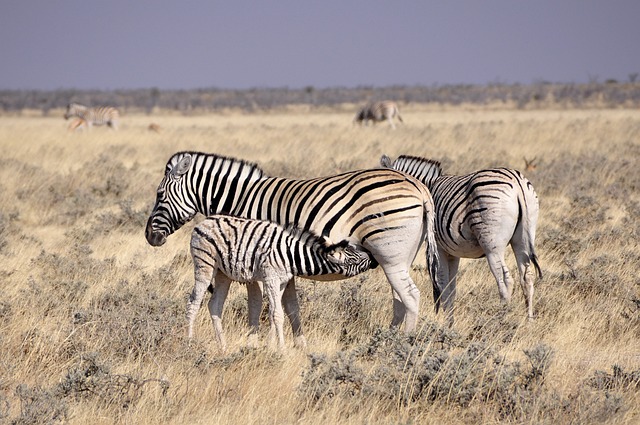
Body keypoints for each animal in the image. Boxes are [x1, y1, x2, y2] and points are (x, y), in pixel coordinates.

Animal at [188, 214, 372, 350]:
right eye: (353, 257)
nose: (371, 256)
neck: (291, 254)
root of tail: (203, 222)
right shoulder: (271, 278)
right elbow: (278, 314)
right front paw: (281, 350)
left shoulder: (281, 281)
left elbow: (272, 313)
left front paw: (271, 347)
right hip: (204, 265)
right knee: (193, 303)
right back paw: (189, 342)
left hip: (222, 273)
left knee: (215, 305)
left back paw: (223, 347)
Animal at [378, 155, 544, 322]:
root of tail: (517, 182)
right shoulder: (453, 253)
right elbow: (452, 289)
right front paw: (450, 322)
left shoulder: (439, 248)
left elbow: (443, 286)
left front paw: (447, 323)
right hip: (522, 238)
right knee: (527, 277)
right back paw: (529, 321)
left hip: (492, 245)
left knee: (505, 281)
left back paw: (501, 319)